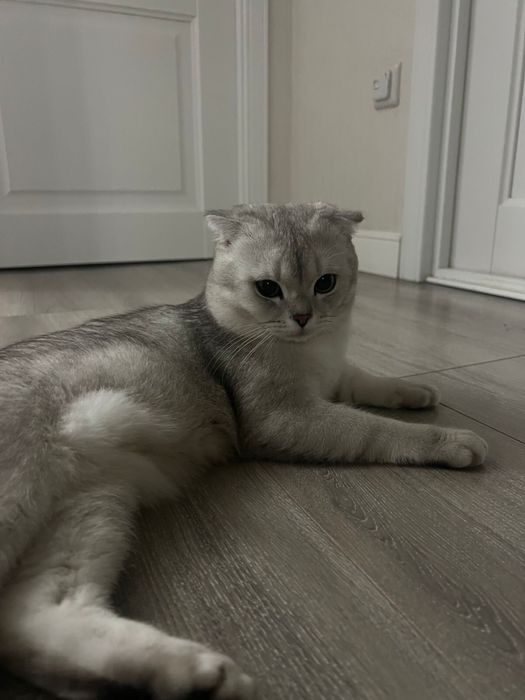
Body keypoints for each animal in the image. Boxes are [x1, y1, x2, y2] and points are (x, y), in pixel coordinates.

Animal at [0, 202, 487, 699]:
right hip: (22, 496)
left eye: (325, 283)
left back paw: (190, 673)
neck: (312, 353)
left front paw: (417, 392)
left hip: (90, 503)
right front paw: (450, 439)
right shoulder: (283, 418)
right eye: (268, 288)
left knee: (32, 623)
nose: (303, 317)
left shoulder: (334, 378)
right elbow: (372, 428)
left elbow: (368, 380)